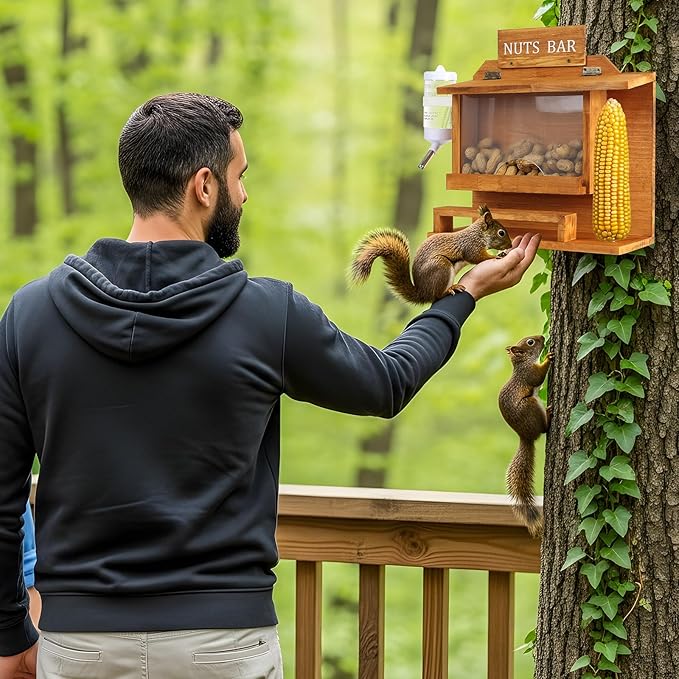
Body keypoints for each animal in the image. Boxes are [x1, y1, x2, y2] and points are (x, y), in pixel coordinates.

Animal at [349, 205, 512, 305]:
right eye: (501, 233)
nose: (510, 245)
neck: (478, 234)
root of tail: (423, 293)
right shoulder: (471, 246)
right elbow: (477, 257)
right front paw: (494, 256)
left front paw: (501, 252)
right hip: (441, 267)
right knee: (437, 296)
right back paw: (450, 289)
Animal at [498, 335, 552, 538]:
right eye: (530, 342)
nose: (542, 337)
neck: (522, 363)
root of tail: (525, 436)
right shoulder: (528, 373)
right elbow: (538, 376)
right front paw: (548, 357)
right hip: (530, 406)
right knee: (544, 429)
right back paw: (549, 416)